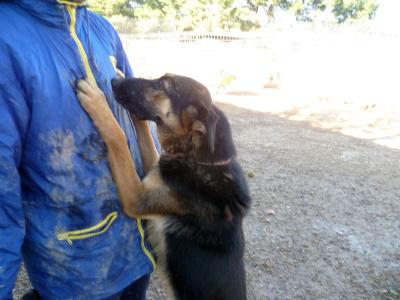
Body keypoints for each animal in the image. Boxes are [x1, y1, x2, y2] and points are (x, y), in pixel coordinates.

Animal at [76, 73, 250, 300]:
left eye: (162, 85)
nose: (115, 81)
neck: (198, 160)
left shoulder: (137, 198)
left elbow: (119, 137)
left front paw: (98, 103)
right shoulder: (153, 172)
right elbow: (145, 137)